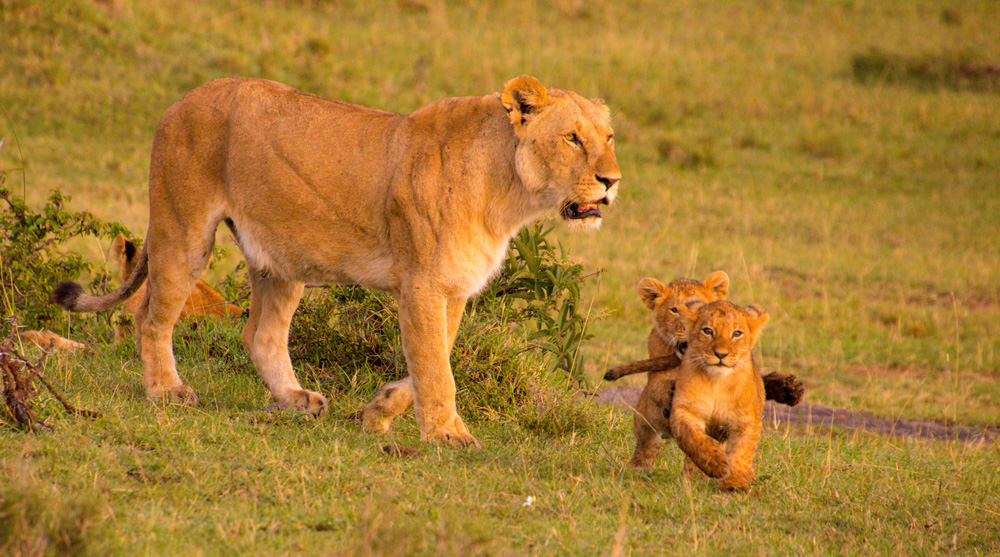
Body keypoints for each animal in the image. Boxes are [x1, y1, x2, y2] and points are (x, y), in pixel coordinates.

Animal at [671, 300, 770, 491]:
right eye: (708, 331)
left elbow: (741, 453)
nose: (721, 354)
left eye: (737, 333)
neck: (717, 382)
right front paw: (714, 463)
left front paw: (734, 484)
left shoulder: (746, 422)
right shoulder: (685, 410)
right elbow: (692, 437)